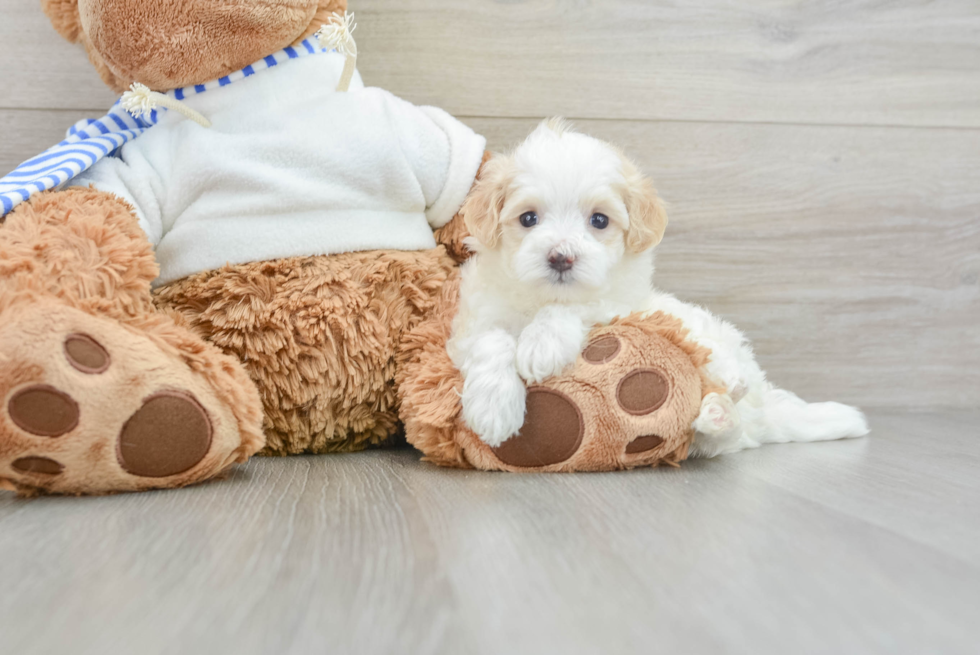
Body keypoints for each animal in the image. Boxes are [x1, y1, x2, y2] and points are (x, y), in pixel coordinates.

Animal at [448, 119, 868, 456]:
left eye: (599, 220)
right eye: (528, 218)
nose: (561, 257)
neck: (540, 298)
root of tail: (765, 410)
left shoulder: (618, 304)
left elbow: (575, 307)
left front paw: (541, 344)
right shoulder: (472, 320)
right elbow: (491, 340)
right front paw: (492, 407)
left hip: (710, 338)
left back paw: (727, 389)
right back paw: (717, 413)